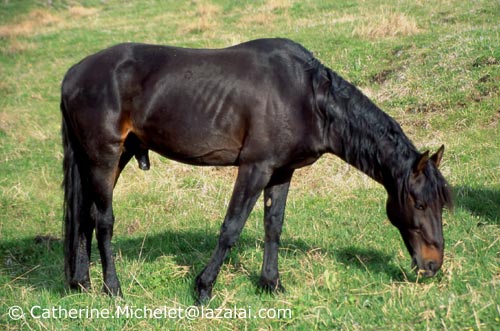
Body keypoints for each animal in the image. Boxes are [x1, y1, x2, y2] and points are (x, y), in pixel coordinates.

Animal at [60, 37, 452, 302]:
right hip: (104, 156)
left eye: (439, 205)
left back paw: (81, 282)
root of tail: (73, 75)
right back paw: (113, 288)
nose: (433, 265)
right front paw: (204, 288)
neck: (307, 97)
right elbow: (231, 228)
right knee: (104, 220)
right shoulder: (255, 168)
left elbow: (273, 226)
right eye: (419, 204)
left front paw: (271, 283)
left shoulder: (281, 172)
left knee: (86, 216)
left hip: (109, 157)